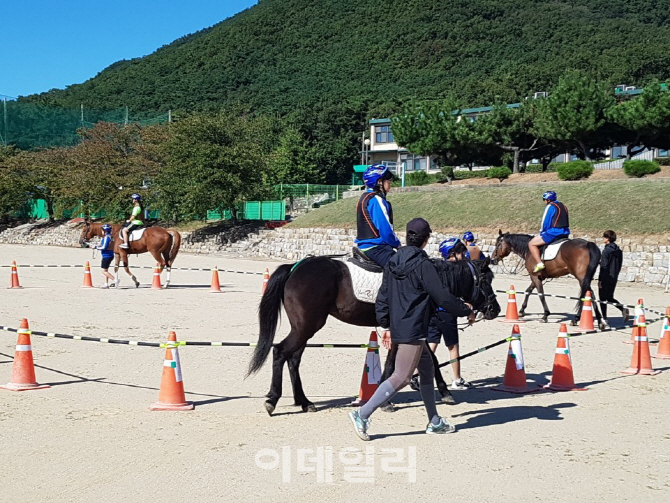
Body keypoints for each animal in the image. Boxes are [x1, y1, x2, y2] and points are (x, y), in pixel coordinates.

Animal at [247, 258, 498, 416]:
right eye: (486, 280)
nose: (494, 309)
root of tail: (295, 267)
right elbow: (406, 362)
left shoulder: (408, 330)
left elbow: (411, 360)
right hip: (306, 327)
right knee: (280, 351)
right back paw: (272, 400)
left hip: (304, 328)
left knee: (294, 359)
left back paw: (304, 402)